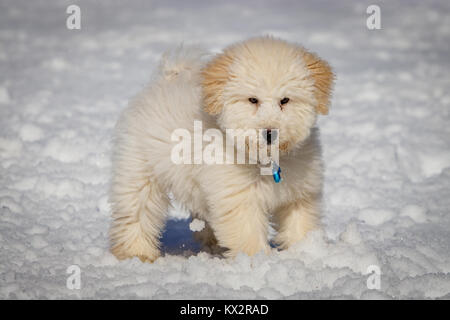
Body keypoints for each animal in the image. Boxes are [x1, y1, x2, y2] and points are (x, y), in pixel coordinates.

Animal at [109, 37, 334, 262]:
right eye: (253, 99)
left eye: (285, 100)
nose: (270, 133)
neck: (265, 160)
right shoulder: (238, 198)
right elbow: (248, 233)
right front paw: (256, 260)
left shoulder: (300, 194)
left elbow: (300, 223)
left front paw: (307, 250)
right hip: (139, 170)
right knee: (137, 212)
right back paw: (136, 252)